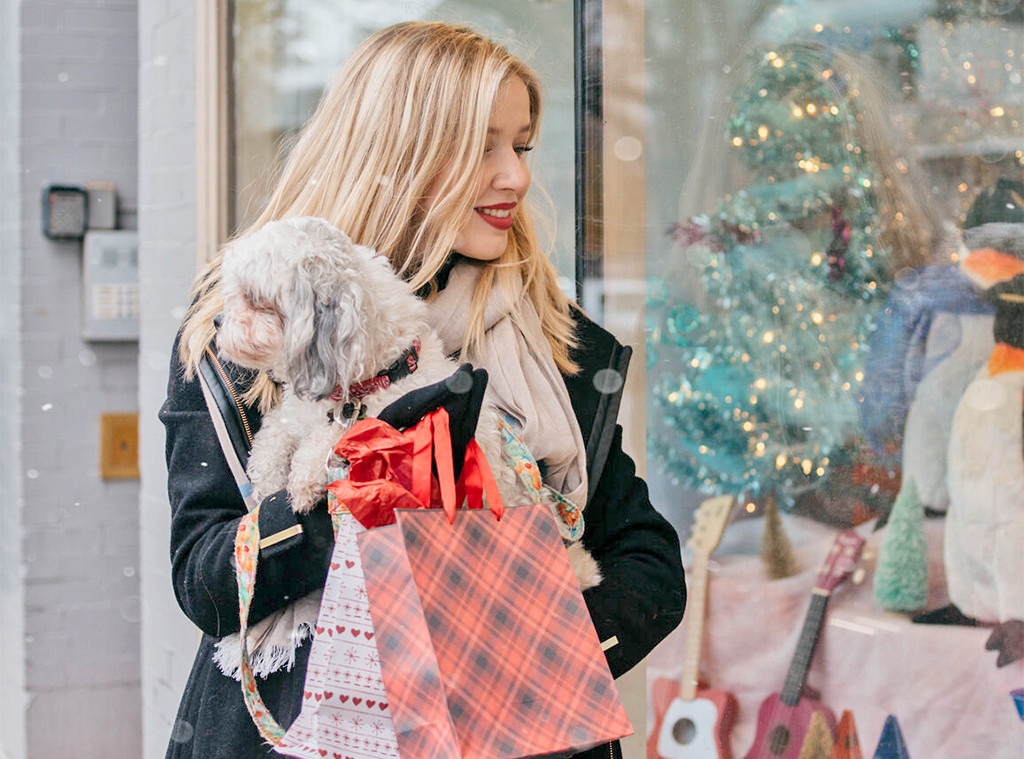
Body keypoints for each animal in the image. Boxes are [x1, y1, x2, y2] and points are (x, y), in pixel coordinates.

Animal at [216, 216, 598, 589]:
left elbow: (334, 437)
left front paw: (304, 479)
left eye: (255, 298)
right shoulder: (295, 415)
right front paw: (267, 483)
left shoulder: (370, 416)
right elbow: (271, 441)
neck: (363, 384)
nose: (218, 320)